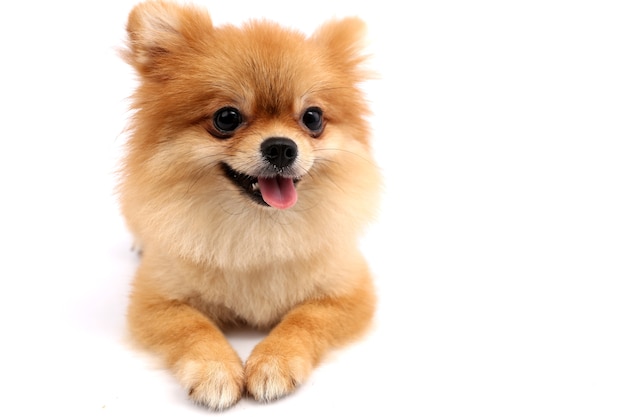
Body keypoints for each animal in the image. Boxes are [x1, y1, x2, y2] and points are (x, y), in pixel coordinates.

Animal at [117, 0, 380, 410]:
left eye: (313, 118)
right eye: (227, 118)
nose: (281, 147)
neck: (258, 227)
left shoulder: (348, 292)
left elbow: (304, 320)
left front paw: (274, 361)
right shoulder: (154, 301)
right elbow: (193, 328)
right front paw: (215, 371)